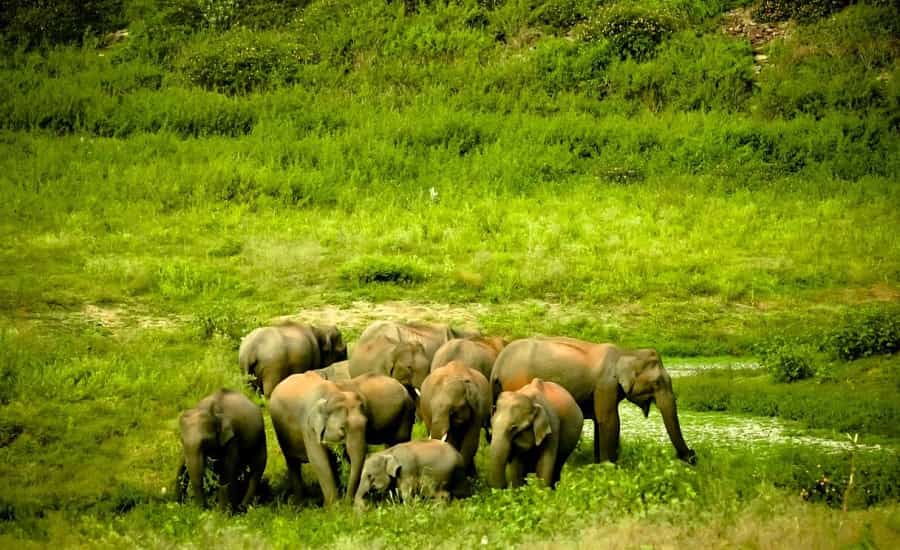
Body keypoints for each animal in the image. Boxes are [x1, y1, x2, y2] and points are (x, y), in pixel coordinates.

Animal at [268, 374, 368, 506]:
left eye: (366, 423)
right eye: (342, 428)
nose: (348, 502)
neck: (332, 394)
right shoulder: (308, 428)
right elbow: (319, 461)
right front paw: (334, 506)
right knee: (292, 463)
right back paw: (298, 503)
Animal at [492, 338, 696, 468]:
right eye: (658, 382)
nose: (692, 457)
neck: (627, 352)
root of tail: (498, 364)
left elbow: (600, 422)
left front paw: (599, 464)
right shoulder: (606, 385)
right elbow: (610, 421)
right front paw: (610, 467)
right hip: (517, 382)